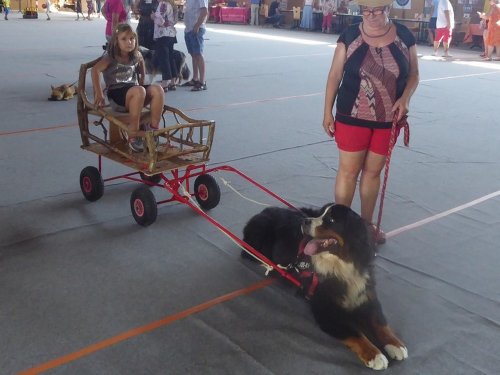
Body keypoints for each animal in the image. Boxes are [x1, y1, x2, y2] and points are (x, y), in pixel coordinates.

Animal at [240, 204, 408, 372]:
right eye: (320, 214)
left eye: (331, 220)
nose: (305, 221)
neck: (341, 265)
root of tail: (263, 211)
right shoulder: (327, 310)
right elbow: (356, 333)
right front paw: (375, 354)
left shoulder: (367, 296)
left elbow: (381, 323)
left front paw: (396, 344)